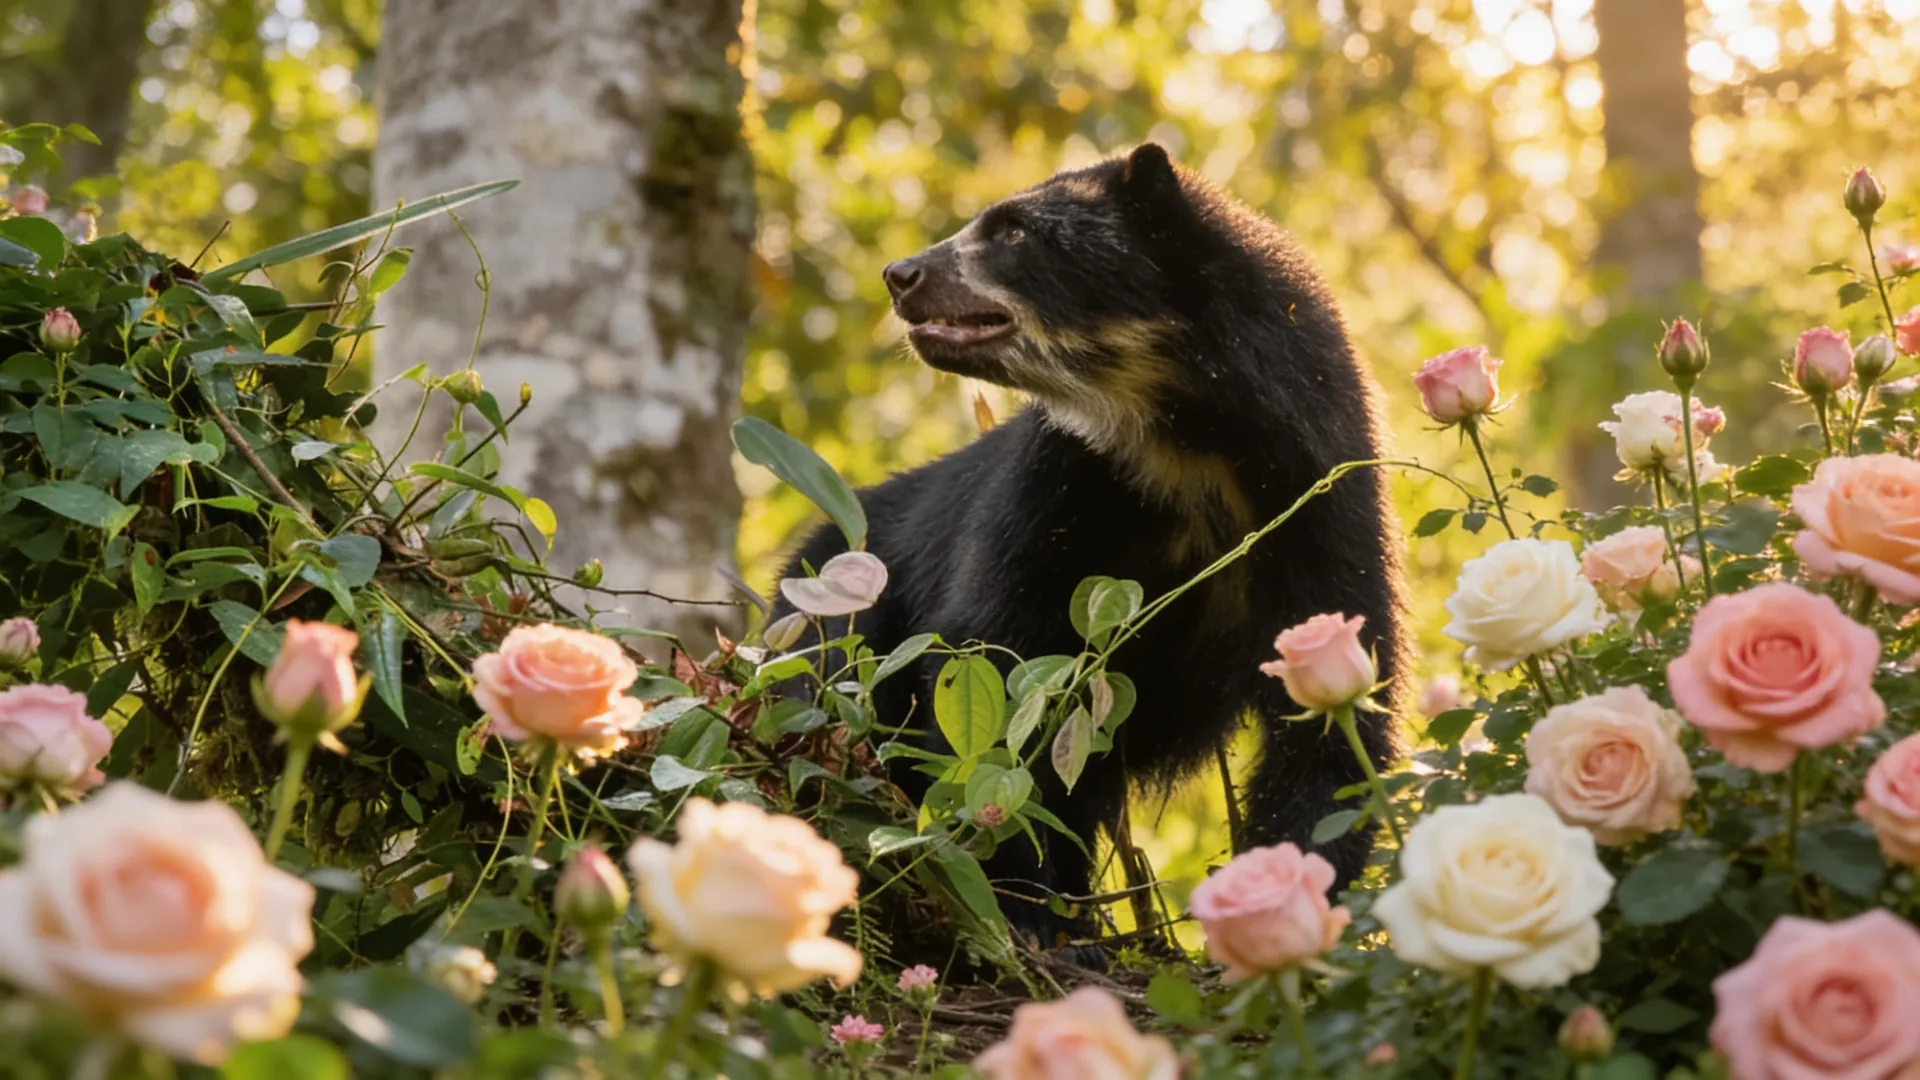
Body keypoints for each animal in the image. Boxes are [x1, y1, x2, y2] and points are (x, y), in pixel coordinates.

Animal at [770, 143, 1406, 955]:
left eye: (1014, 233)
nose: (900, 274)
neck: (1184, 444)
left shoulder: (1320, 504)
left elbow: (1331, 722)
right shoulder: (1057, 489)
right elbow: (1000, 669)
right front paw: (1024, 908)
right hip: (836, 621)